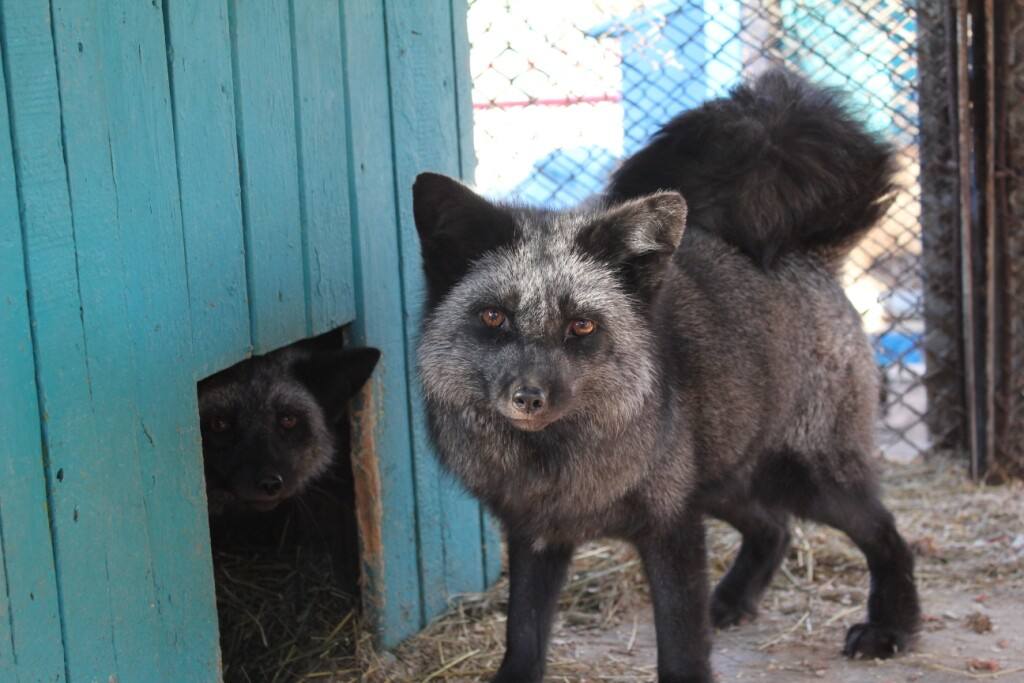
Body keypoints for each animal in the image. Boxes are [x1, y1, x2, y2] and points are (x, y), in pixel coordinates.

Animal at [411, 69, 925, 683]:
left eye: (582, 325)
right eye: (494, 318)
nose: (527, 397)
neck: (558, 462)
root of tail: (812, 256)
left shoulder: (672, 527)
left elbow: (681, 644)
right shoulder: (536, 534)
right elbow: (524, 632)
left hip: (808, 479)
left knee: (887, 534)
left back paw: (892, 627)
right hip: (725, 476)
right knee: (774, 528)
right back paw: (733, 601)